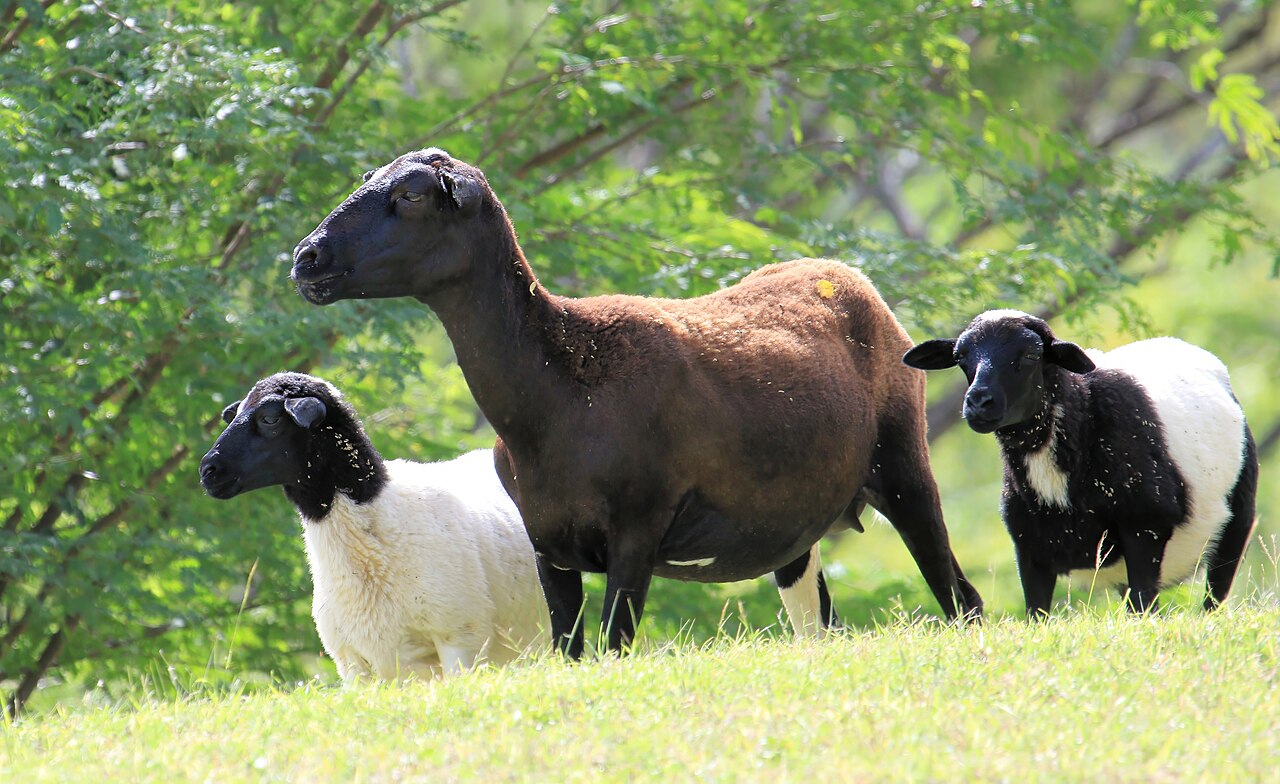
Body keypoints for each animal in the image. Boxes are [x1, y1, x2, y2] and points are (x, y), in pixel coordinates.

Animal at [288, 147, 983, 657]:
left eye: (410, 196)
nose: (306, 258)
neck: (556, 394)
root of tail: (848, 275)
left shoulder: (637, 531)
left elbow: (613, 647)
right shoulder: (548, 545)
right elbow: (572, 653)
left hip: (903, 464)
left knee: (963, 599)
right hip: (800, 531)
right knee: (825, 625)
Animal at [903, 310, 1259, 616]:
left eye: (1031, 356)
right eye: (961, 357)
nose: (978, 402)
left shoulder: (1145, 524)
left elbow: (1144, 606)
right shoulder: (1028, 544)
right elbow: (1037, 613)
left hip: (1237, 520)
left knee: (1214, 595)